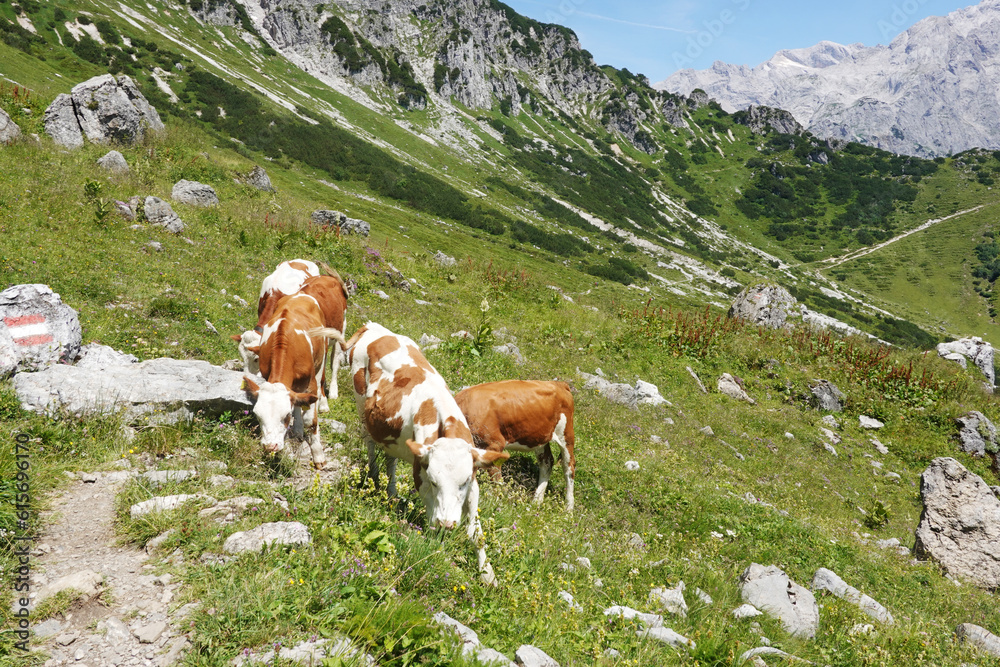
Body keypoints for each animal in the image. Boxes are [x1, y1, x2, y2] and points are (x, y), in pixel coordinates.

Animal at [240, 292, 346, 470]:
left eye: (286, 416)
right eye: (258, 416)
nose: (270, 446)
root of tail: (300, 294)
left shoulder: (310, 384)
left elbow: (310, 420)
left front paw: (318, 455)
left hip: (322, 356)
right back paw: (298, 429)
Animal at [348, 324, 512, 584]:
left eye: (463, 483)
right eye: (435, 482)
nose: (448, 523)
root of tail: (373, 326)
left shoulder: (473, 479)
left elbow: (476, 532)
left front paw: (488, 574)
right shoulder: (421, 477)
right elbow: (433, 524)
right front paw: (439, 555)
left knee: (391, 457)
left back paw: (392, 492)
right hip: (362, 410)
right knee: (371, 445)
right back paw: (374, 478)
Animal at [456, 380, 580, 512]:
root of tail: (559, 384)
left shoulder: (493, 445)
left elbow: (496, 479)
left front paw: (497, 502)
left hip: (566, 434)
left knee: (569, 466)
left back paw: (569, 508)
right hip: (539, 437)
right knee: (547, 462)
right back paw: (536, 501)